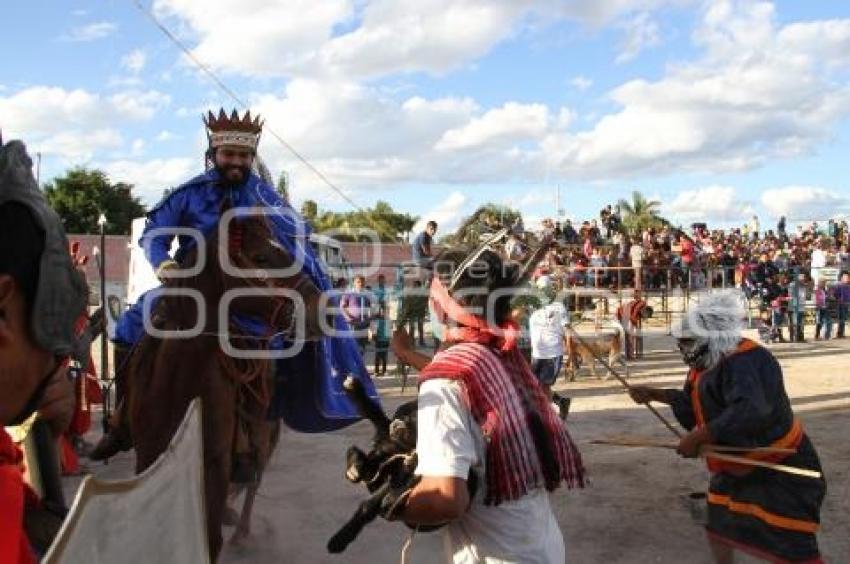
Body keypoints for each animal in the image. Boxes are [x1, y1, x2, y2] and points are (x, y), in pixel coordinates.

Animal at [127, 209, 322, 556]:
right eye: (261, 256)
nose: (318, 307)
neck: (177, 385)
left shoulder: (215, 465)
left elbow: (212, 535)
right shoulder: (147, 455)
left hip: (262, 434)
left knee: (254, 478)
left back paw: (241, 529)